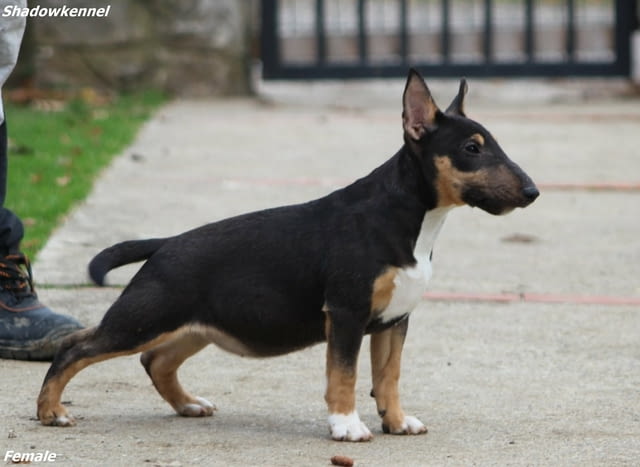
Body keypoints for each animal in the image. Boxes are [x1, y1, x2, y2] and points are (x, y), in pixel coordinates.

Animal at [36, 67, 540, 440]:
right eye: (472, 148)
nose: (532, 192)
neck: (409, 217)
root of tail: (164, 244)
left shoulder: (394, 320)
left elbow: (388, 376)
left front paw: (397, 422)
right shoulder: (346, 313)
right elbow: (344, 375)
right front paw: (347, 427)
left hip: (192, 326)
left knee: (155, 361)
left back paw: (190, 405)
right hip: (144, 318)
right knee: (75, 346)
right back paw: (51, 412)